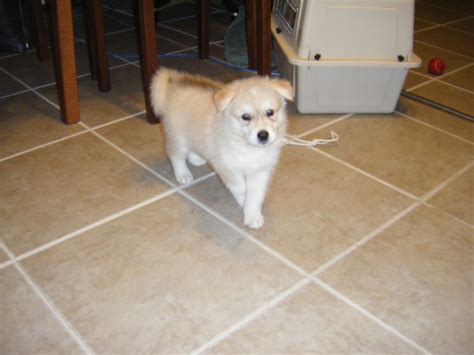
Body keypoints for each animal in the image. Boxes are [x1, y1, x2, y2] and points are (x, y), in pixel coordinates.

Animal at [151, 68, 292, 229]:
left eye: (270, 112)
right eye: (245, 117)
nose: (263, 135)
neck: (247, 147)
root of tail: (176, 82)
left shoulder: (261, 171)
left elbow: (255, 195)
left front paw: (252, 215)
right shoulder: (227, 167)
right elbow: (241, 188)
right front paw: (243, 202)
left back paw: (197, 159)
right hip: (177, 137)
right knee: (175, 155)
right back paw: (183, 174)